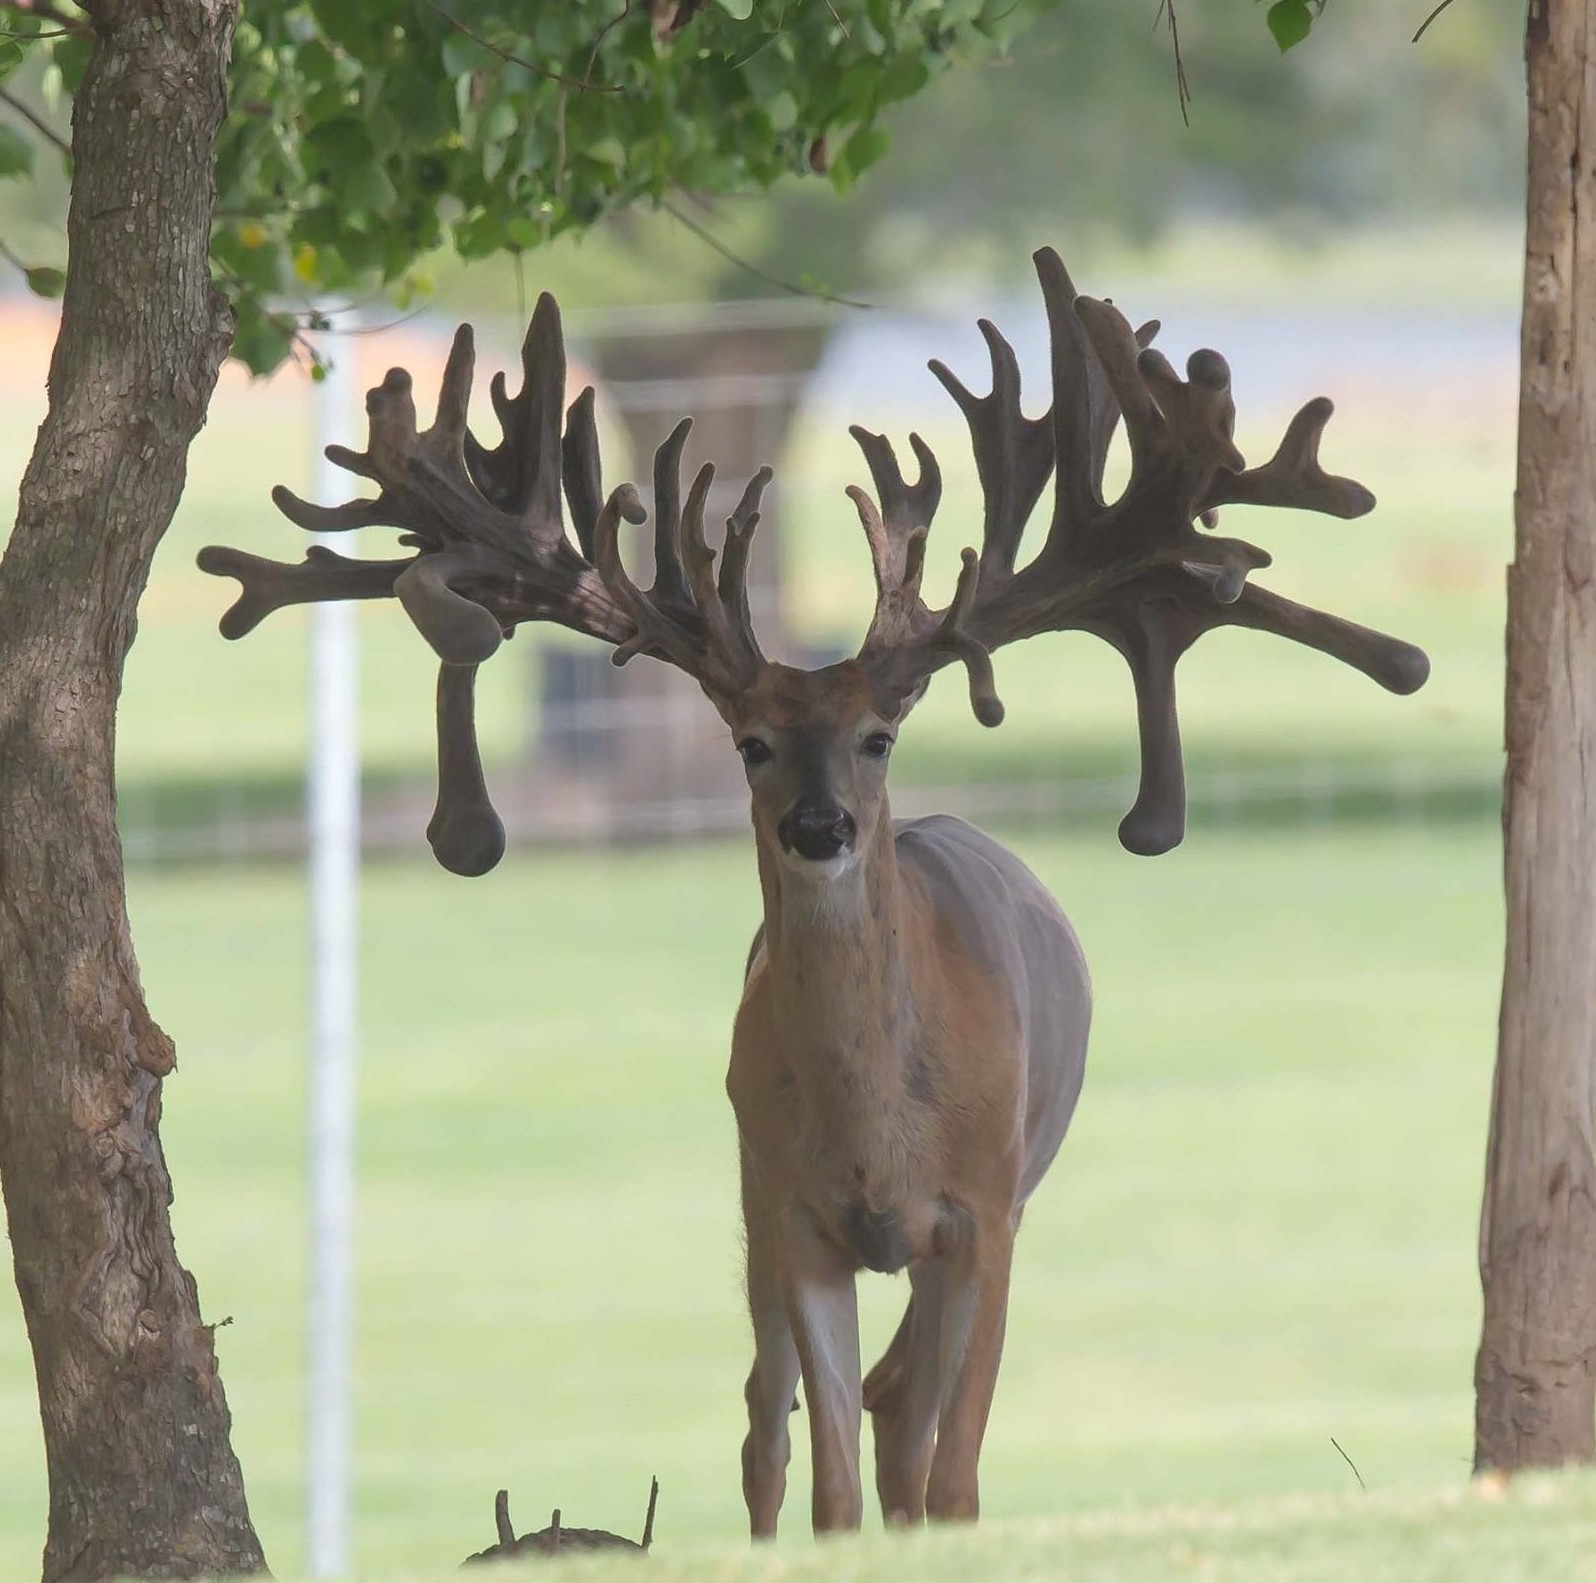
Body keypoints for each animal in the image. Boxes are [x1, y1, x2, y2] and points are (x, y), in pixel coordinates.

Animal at [199, 253, 1436, 1538]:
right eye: (749, 742)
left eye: (879, 735)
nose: (819, 825)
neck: (877, 1133)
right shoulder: (794, 1215)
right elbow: (829, 1466)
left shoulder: (984, 1209)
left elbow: (957, 1465)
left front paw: (944, 1519)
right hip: (751, 1197)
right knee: (771, 1410)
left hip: (1011, 1180)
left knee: (905, 1402)